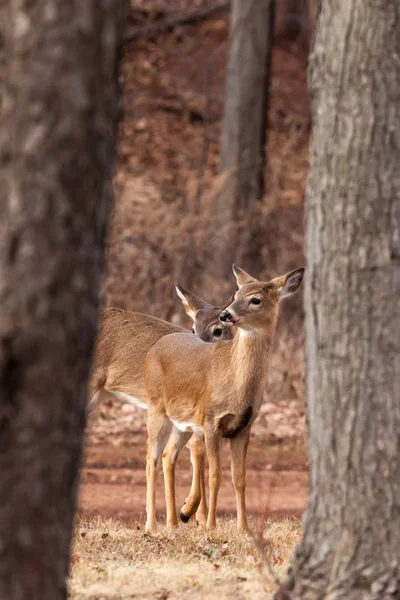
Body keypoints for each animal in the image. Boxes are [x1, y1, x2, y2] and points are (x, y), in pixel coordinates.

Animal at [144, 264, 304, 532]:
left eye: (255, 299)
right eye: (237, 294)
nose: (226, 314)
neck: (236, 383)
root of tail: (156, 345)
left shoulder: (244, 427)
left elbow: (239, 478)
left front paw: (244, 528)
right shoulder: (211, 421)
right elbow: (215, 476)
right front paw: (210, 526)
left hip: (182, 422)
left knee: (167, 456)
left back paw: (173, 523)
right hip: (156, 409)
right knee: (151, 459)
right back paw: (152, 526)